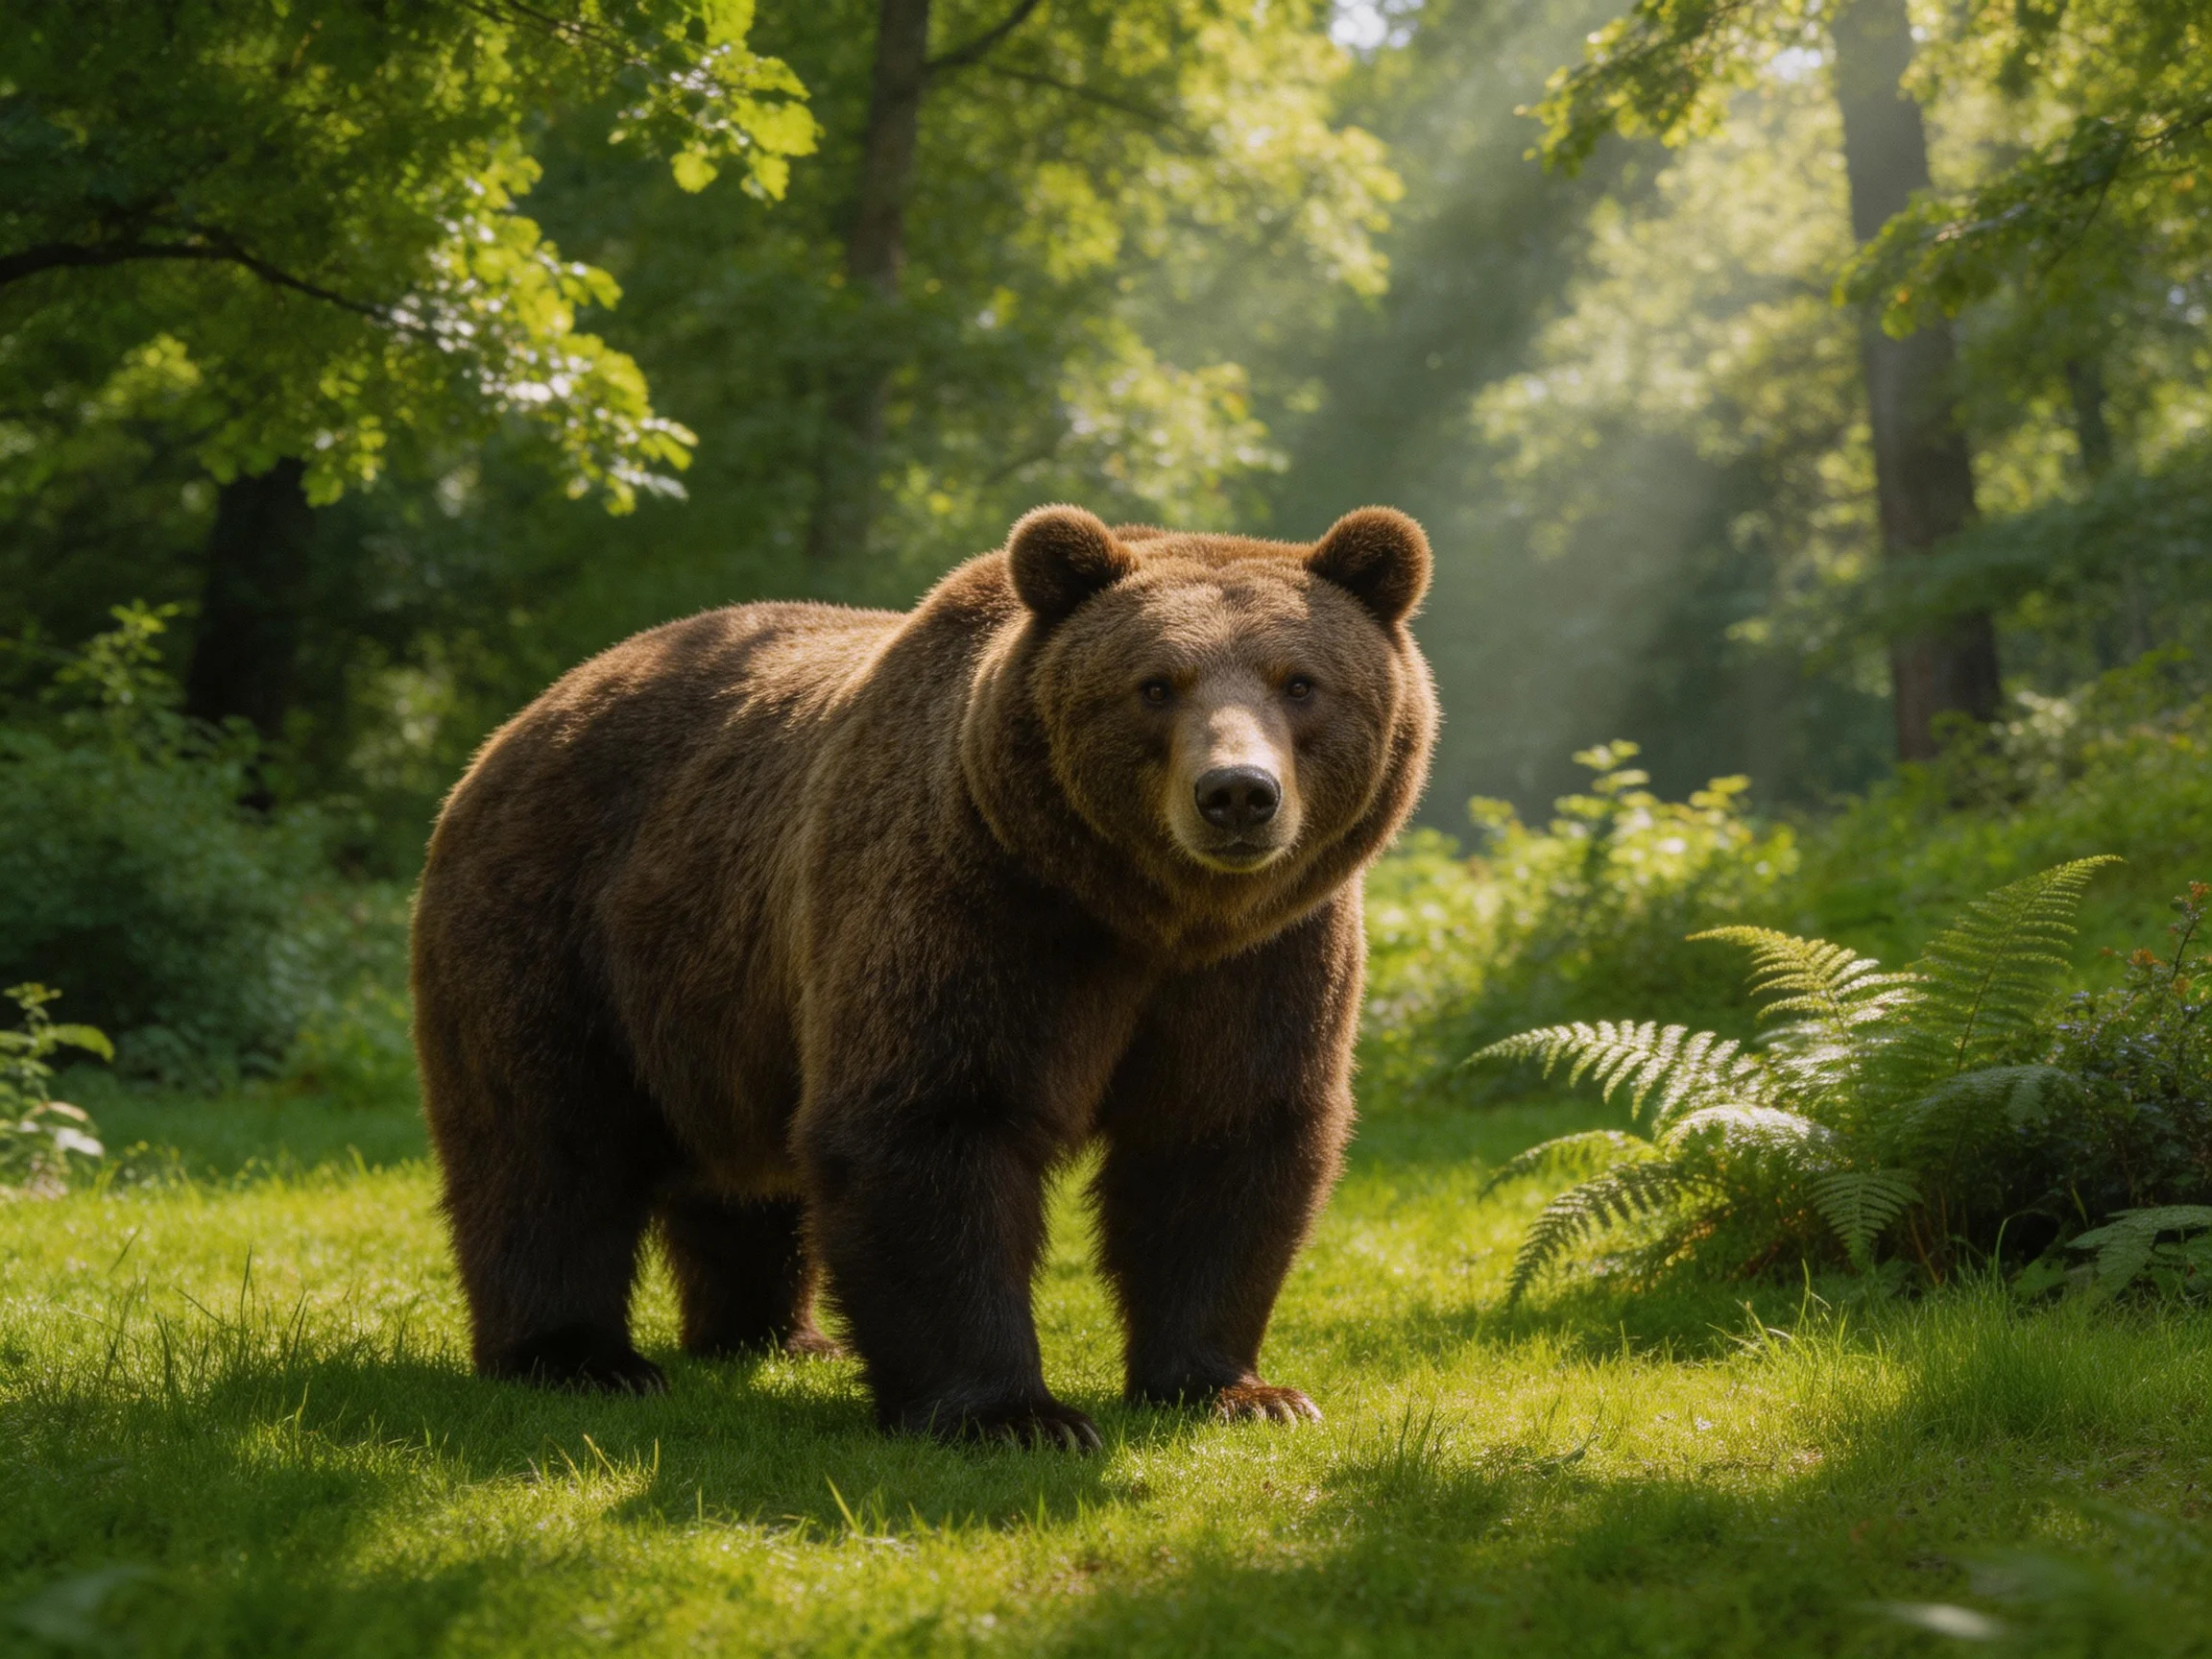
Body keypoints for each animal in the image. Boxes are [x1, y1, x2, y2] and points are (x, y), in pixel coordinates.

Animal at [410, 504, 1438, 1448]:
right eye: (1155, 685)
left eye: (1300, 682)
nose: (1236, 794)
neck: (1146, 916)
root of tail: (525, 719)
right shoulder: (976, 900)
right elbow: (934, 1119)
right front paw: (1015, 1416)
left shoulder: (1264, 959)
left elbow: (1223, 1137)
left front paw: (1239, 1389)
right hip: (556, 924)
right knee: (544, 1137)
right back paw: (578, 1358)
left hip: (719, 990)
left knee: (739, 1176)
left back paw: (776, 1337)